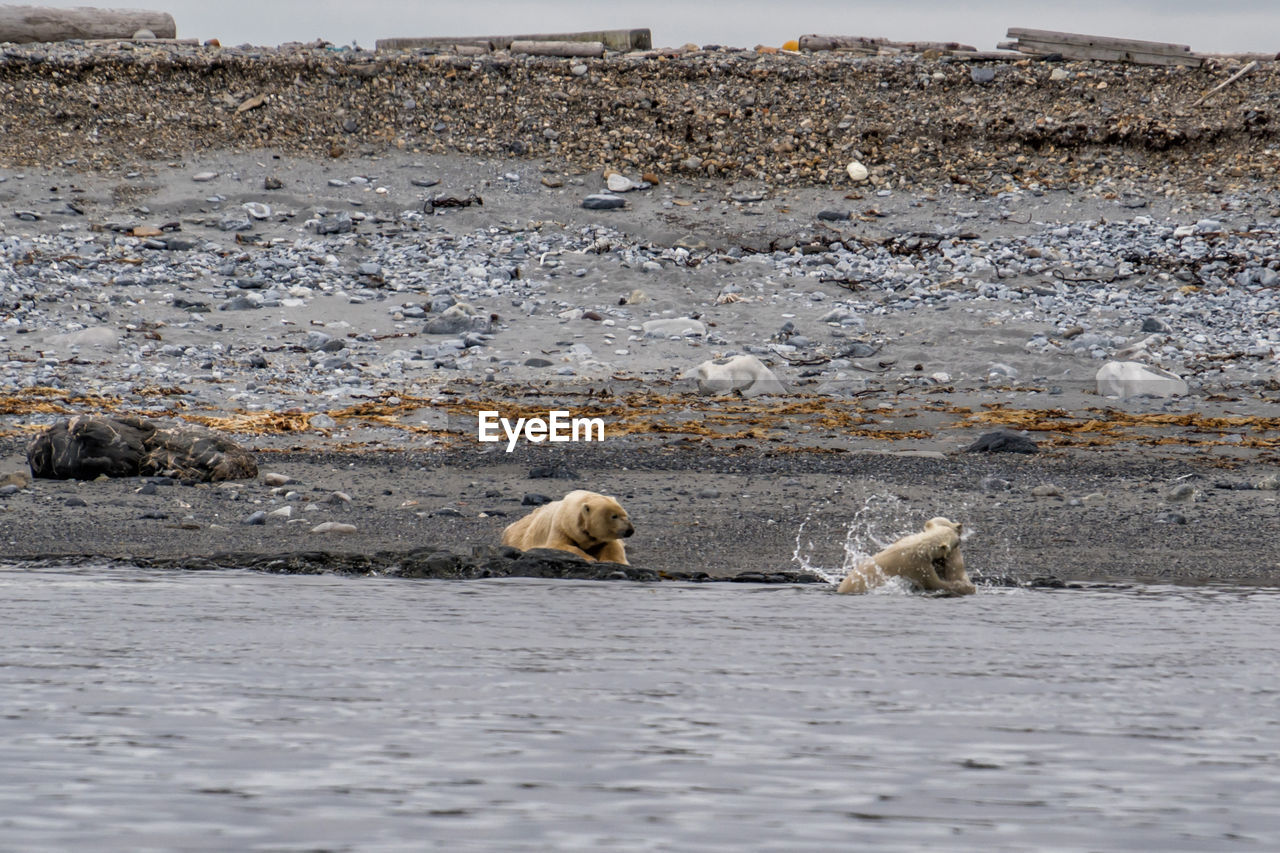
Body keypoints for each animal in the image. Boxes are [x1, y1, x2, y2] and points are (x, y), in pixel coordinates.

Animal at [501, 489, 637, 560]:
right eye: (614, 516)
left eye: (625, 514)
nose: (630, 530)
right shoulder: (561, 526)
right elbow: (557, 545)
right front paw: (590, 558)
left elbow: (613, 547)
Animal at [834, 514, 972, 594]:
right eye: (956, 542)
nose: (960, 539)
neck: (920, 544)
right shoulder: (918, 566)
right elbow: (935, 583)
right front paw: (964, 586)